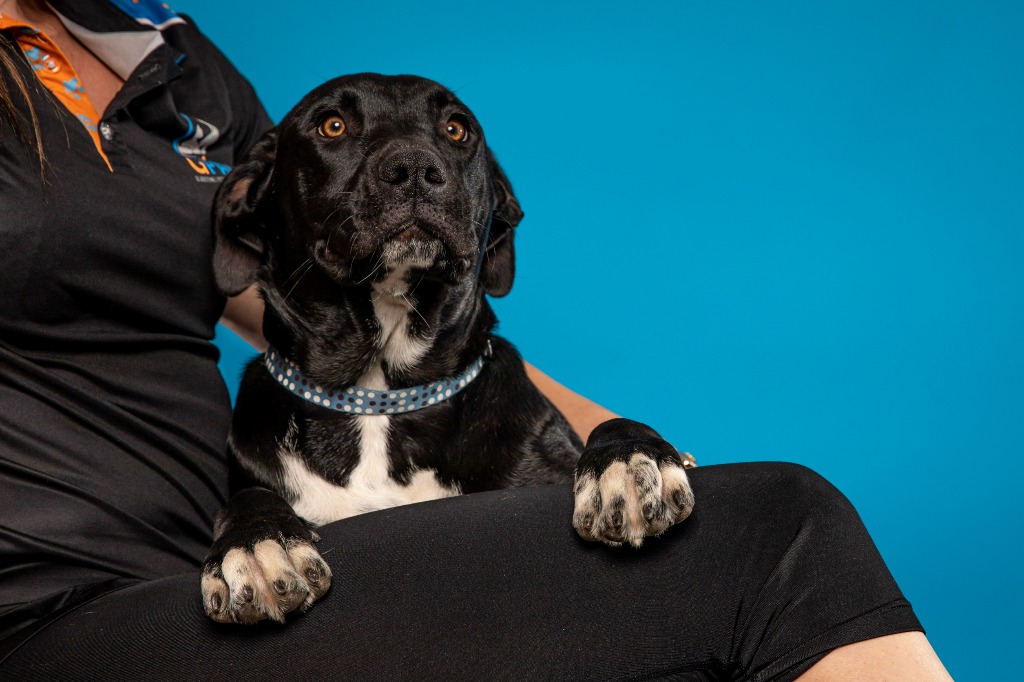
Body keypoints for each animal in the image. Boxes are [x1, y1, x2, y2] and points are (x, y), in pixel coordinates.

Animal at [201, 74, 695, 625]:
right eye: (332, 125)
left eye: (457, 129)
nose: (415, 169)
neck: (380, 398)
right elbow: (243, 499)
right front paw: (256, 542)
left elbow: (612, 427)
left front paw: (628, 461)